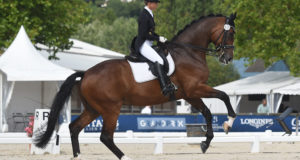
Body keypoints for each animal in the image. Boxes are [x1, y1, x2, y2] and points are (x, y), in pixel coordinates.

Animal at [34, 13, 237, 159]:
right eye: (232, 33)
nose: (227, 58)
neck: (188, 52)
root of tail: (85, 74)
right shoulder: (195, 88)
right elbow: (224, 96)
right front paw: (228, 123)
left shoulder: (188, 94)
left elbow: (208, 112)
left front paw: (205, 143)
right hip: (110, 108)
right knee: (105, 136)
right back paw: (125, 157)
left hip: (93, 109)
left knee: (75, 128)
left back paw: (78, 157)